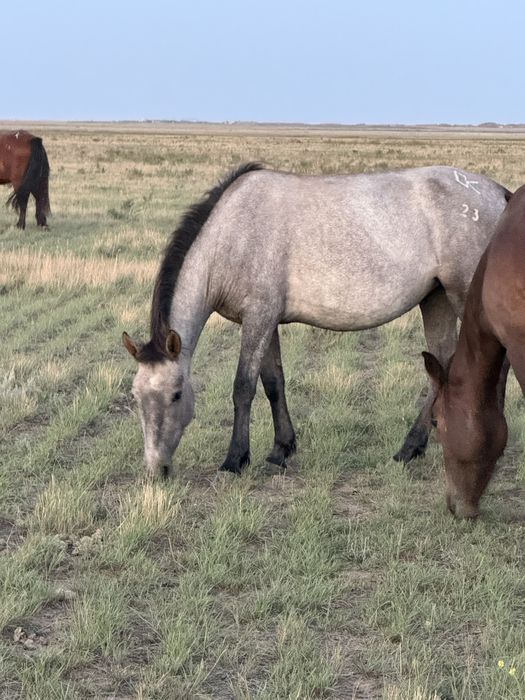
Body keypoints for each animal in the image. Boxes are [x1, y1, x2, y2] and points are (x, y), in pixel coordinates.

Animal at [123, 163, 510, 479]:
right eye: (136, 397)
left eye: (176, 395)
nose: (156, 470)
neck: (231, 235)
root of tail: (495, 191)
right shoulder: (266, 320)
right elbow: (273, 383)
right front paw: (281, 449)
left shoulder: (258, 317)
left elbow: (243, 387)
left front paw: (235, 459)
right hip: (436, 299)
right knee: (442, 366)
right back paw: (410, 448)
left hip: (462, 295)